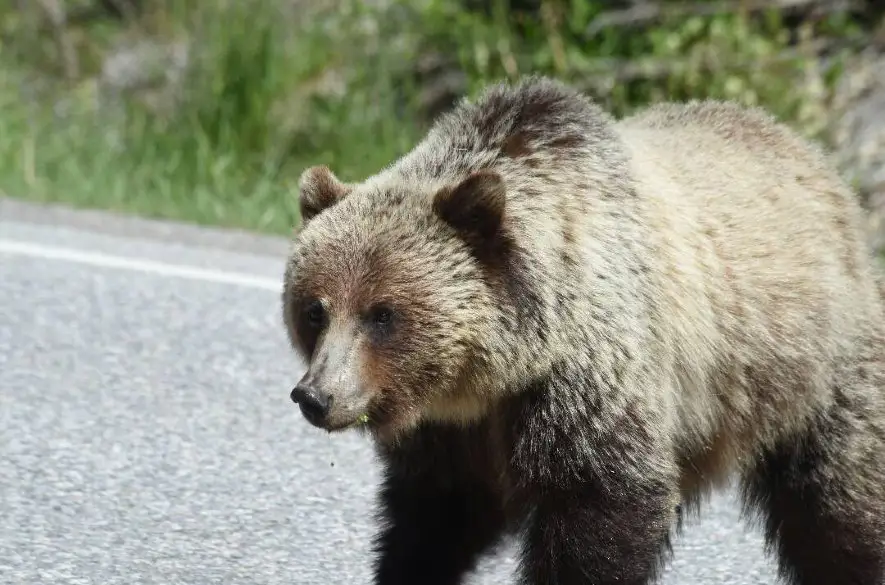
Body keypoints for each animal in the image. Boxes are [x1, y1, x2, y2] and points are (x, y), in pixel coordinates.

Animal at [282, 76, 884, 584]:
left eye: (383, 314)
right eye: (314, 309)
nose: (317, 396)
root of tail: (816, 161)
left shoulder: (588, 380)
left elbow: (600, 506)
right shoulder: (449, 433)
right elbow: (432, 519)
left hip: (817, 369)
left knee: (836, 506)